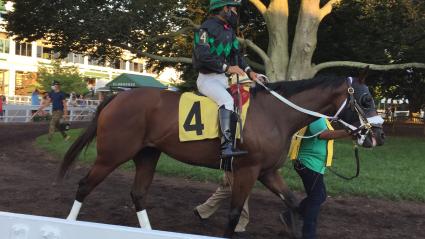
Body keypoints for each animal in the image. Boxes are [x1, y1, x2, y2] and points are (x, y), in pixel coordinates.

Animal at [58, 72, 384, 237]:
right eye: (367, 99)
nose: (378, 136)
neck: (275, 113)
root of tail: (117, 97)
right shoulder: (247, 170)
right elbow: (233, 214)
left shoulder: (267, 171)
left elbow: (295, 204)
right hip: (112, 155)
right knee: (84, 186)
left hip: (148, 154)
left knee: (138, 194)